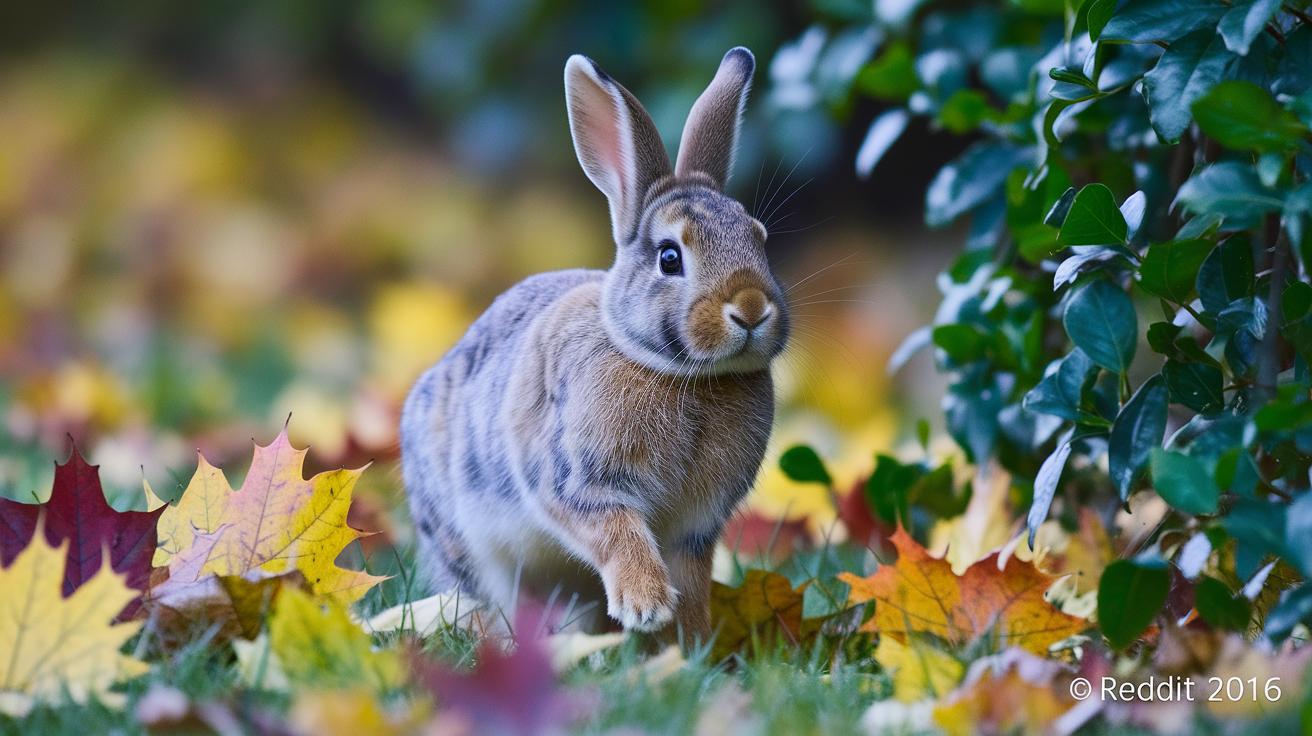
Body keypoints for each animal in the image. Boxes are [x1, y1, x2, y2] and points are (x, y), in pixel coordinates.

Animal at [400, 46, 787, 637]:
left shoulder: (695, 528)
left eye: (760, 240)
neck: (683, 374)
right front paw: (645, 605)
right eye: (669, 257)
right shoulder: (578, 482)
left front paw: (691, 640)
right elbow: (615, 529)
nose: (750, 308)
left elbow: (693, 578)